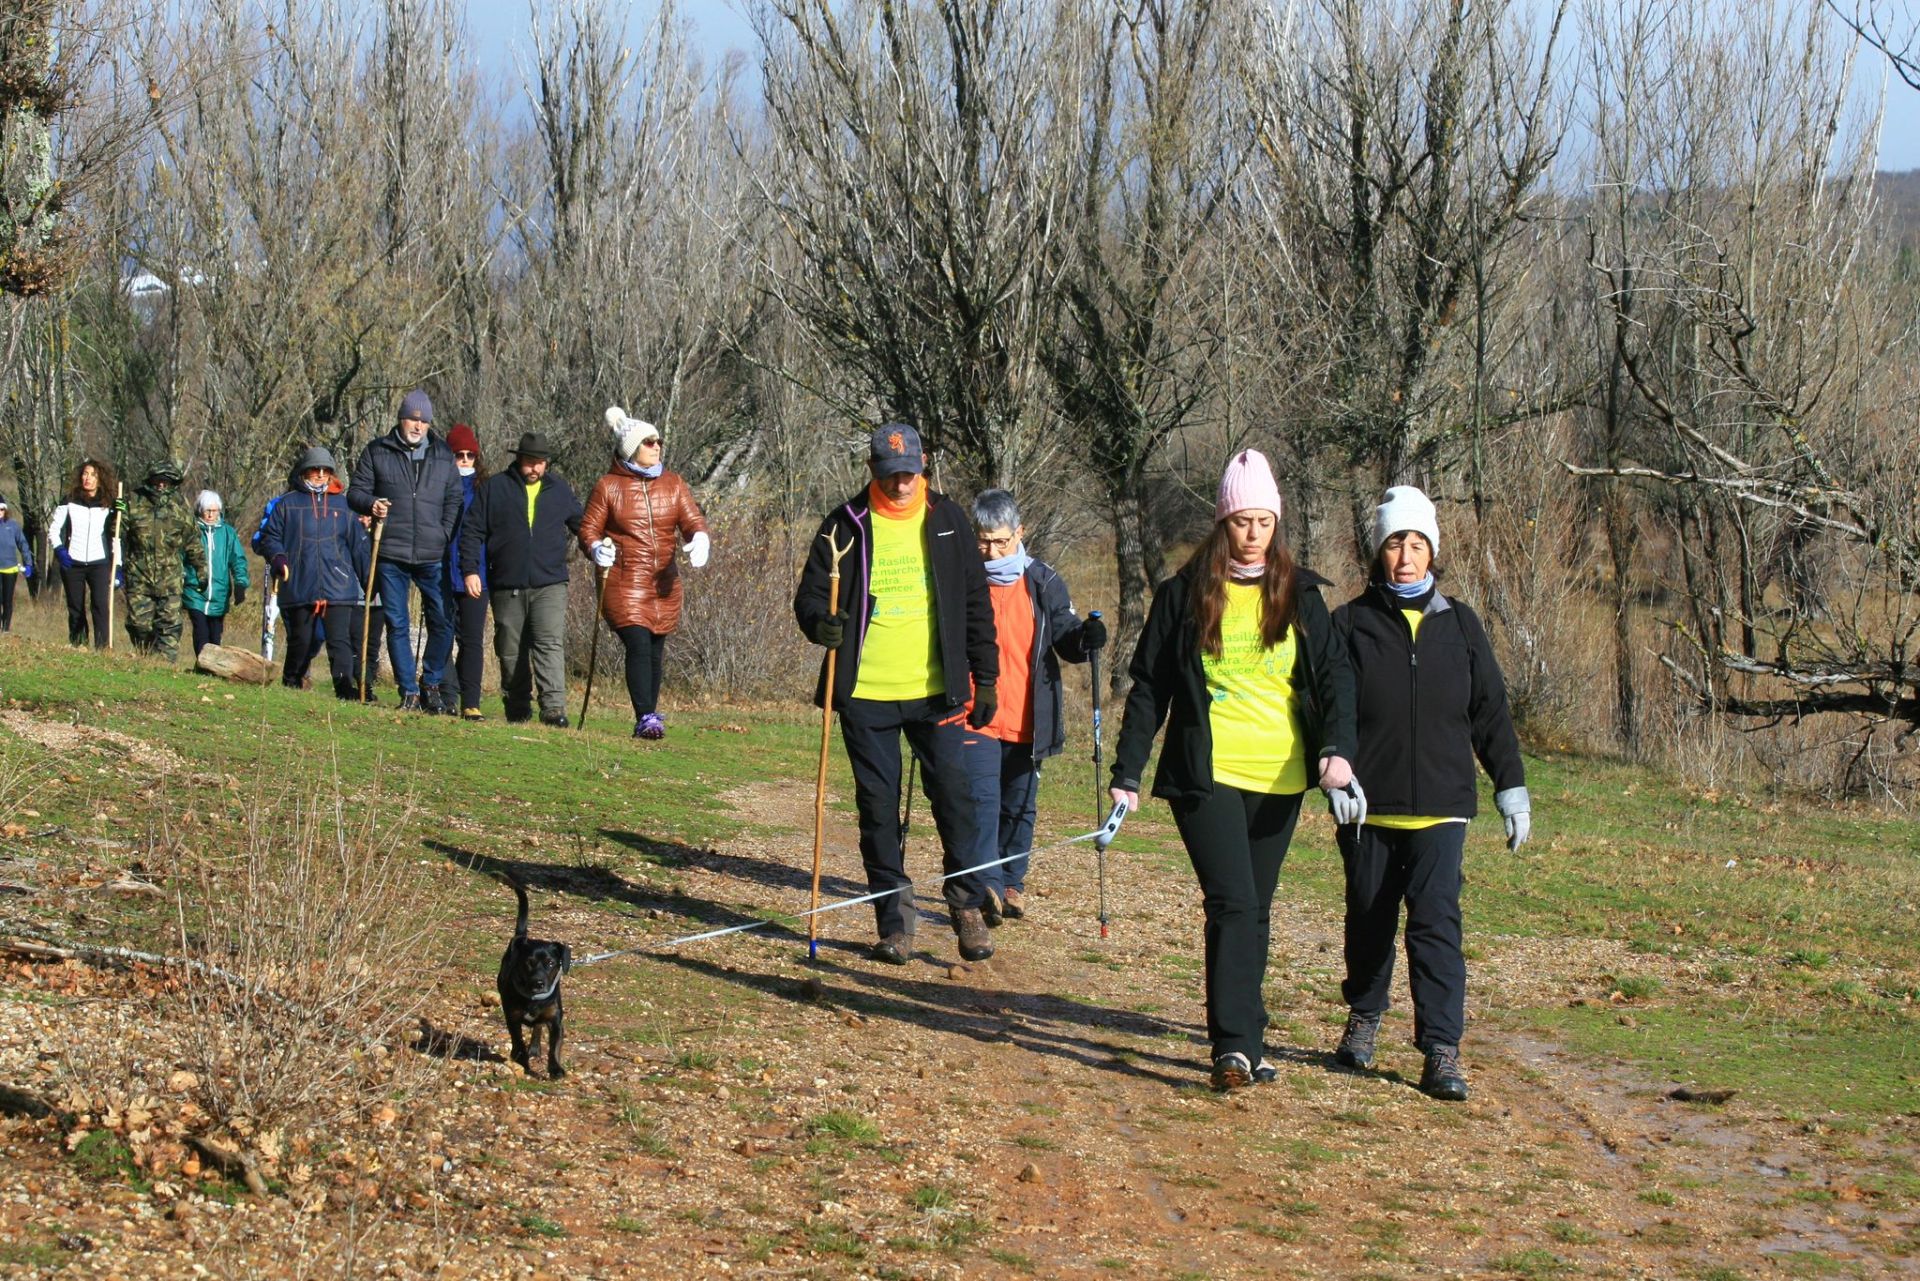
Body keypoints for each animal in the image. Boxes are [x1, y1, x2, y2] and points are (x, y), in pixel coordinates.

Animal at [491, 875, 564, 1075]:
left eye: (551, 963)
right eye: (528, 962)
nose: (538, 983)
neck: (533, 999)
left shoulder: (555, 1019)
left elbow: (555, 1045)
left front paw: (555, 1068)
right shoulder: (512, 1016)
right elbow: (517, 1040)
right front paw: (520, 1057)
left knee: (538, 1026)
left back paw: (535, 1047)